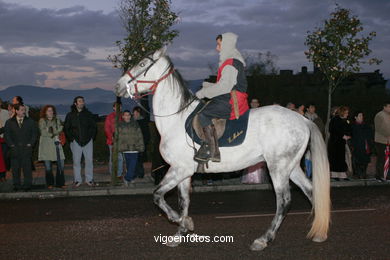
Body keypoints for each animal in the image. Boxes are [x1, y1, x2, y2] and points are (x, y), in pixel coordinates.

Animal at [114, 47, 330, 251]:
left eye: (142, 63)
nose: (118, 85)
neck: (177, 119)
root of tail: (303, 120)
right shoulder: (183, 171)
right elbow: (184, 202)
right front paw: (179, 233)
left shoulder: (180, 169)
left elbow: (158, 195)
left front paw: (182, 222)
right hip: (291, 167)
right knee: (311, 191)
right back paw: (320, 232)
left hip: (278, 168)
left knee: (284, 201)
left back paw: (263, 239)